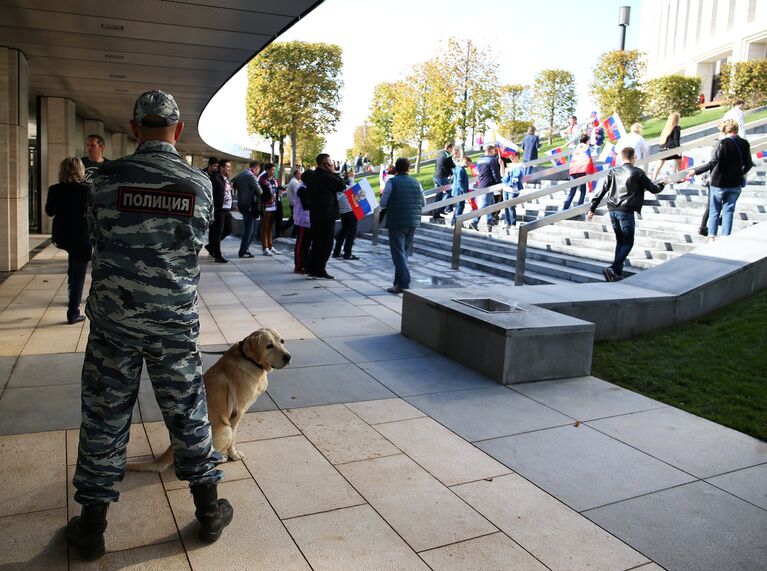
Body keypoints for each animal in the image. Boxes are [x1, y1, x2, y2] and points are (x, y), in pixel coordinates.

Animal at [129, 328, 292, 472]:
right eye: (269, 346)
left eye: (282, 341)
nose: (288, 357)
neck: (249, 359)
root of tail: (171, 449)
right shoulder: (237, 412)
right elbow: (233, 439)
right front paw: (234, 455)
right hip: (225, 429)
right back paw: (220, 458)